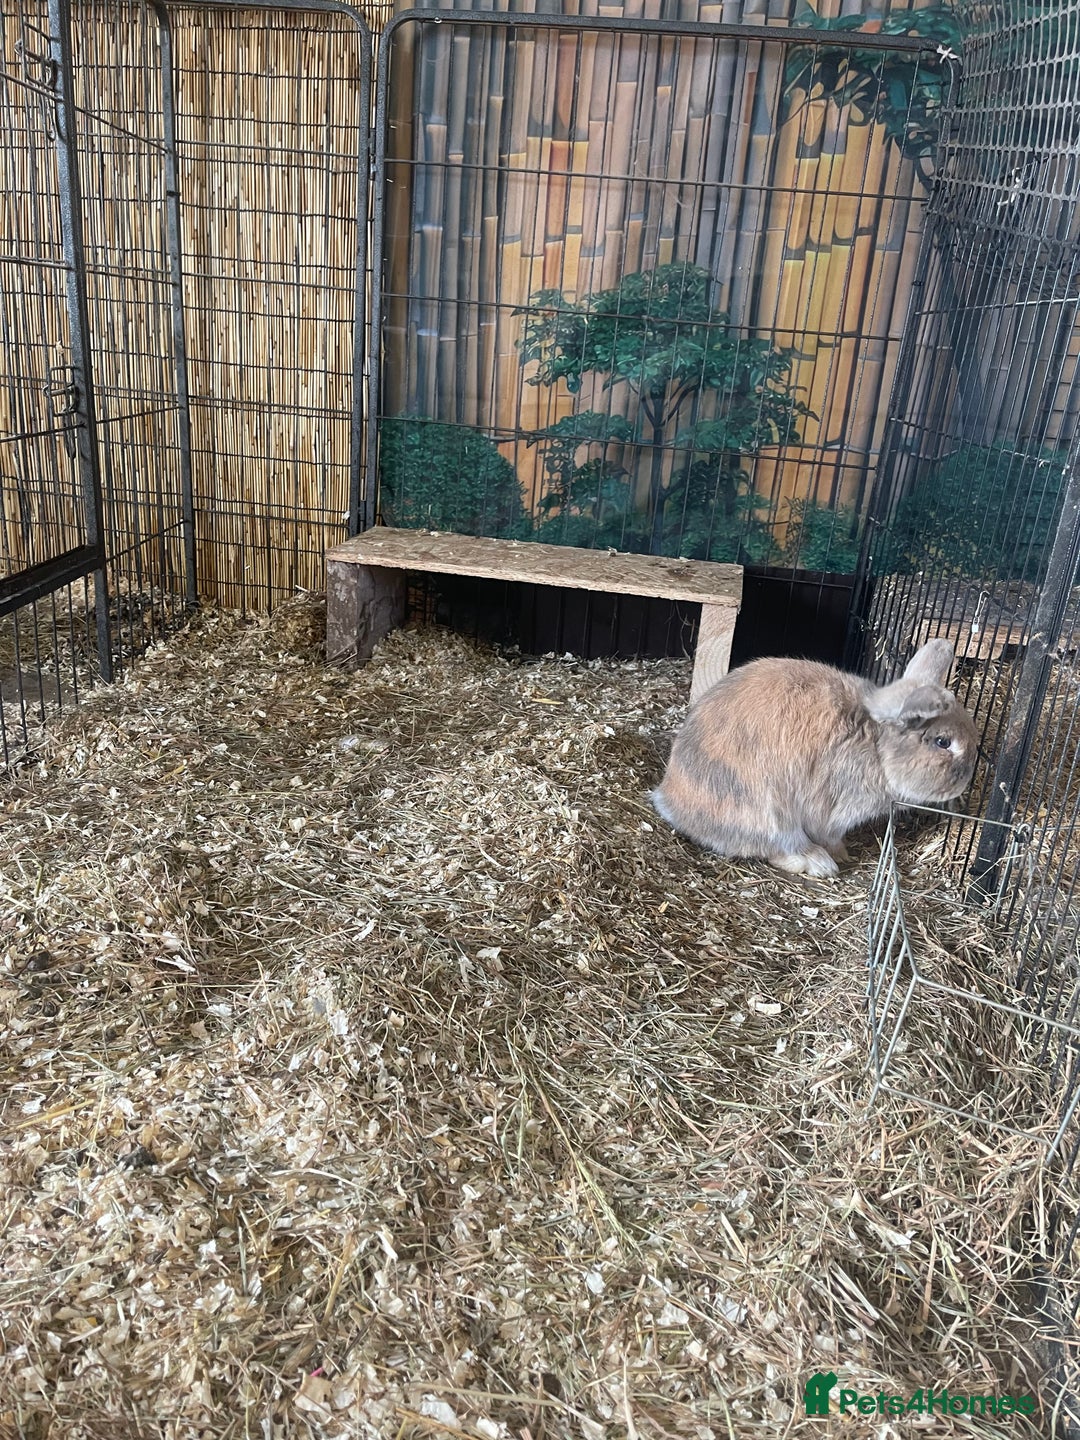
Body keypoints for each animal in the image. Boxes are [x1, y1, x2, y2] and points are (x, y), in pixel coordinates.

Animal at [651, 637, 978, 879]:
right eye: (943, 742)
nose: (965, 782)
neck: (877, 744)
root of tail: (669, 801)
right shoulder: (835, 811)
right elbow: (829, 834)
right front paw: (841, 853)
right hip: (771, 814)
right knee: (775, 847)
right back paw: (819, 863)